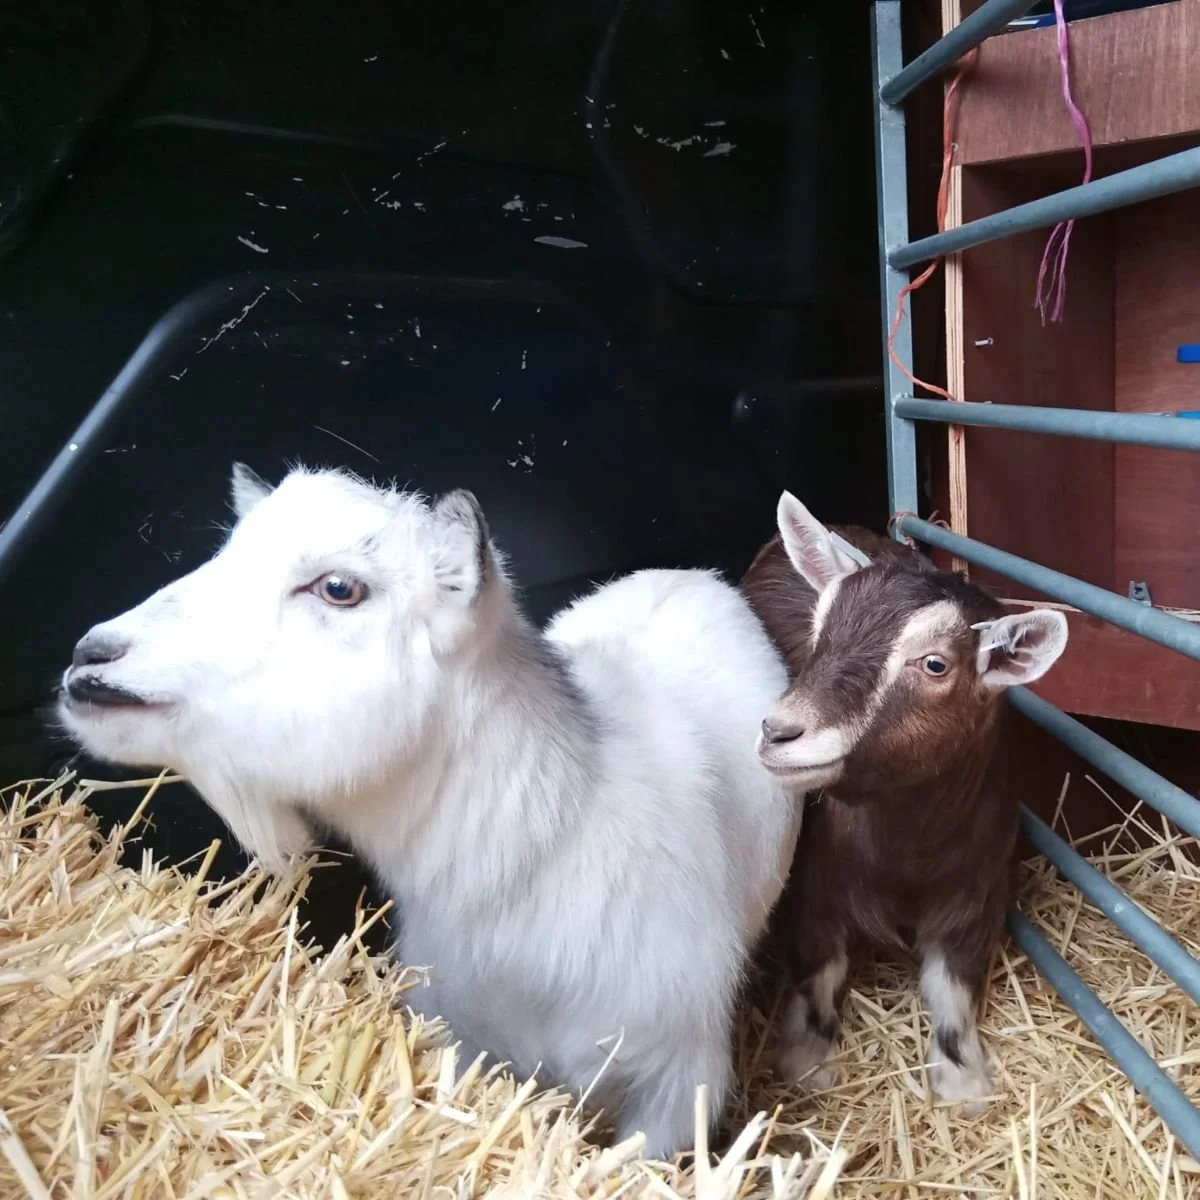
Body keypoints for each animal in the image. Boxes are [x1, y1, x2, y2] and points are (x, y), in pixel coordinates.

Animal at [58, 463, 803, 1158]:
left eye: (339, 587)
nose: (89, 660)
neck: (548, 840)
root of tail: (689, 574)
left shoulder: (676, 1079)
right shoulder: (463, 1037)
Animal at [741, 491, 1068, 1111]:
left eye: (936, 663)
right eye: (819, 631)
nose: (777, 731)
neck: (905, 856)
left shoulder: (979, 892)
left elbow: (953, 985)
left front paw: (964, 1080)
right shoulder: (812, 887)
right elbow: (821, 968)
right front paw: (808, 1060)